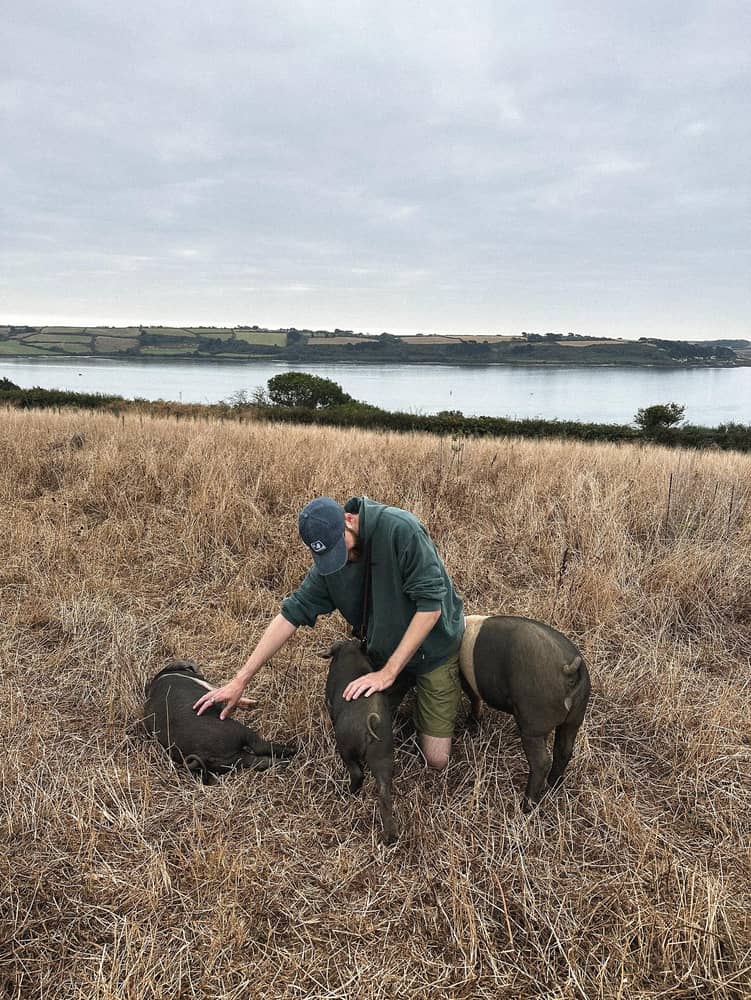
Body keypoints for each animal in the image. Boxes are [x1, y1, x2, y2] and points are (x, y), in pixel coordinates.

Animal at [143, 660, 296, 783]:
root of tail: (203, 755)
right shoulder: (209, 686)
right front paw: (253, 702)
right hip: (236, 730)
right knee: (260, 746)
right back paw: (293, 749)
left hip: (233, 760)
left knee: (258, 761)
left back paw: (285, 761)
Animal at [321, 639, 396, 845]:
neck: (350, 651)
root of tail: (370, 721)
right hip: (383, 754)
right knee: (384, 793)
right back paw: (389, 838)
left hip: (345, 746)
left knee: (357, 773)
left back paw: (347, 793)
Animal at [460, 615, 590, 811]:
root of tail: (569, 669)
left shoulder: (466, 681)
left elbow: (474, 699)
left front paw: (471, 723)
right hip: (574, 718)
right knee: (564, 750)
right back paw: (553, 787)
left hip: (533, 724)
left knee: (541, 762)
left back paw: (526, 806)